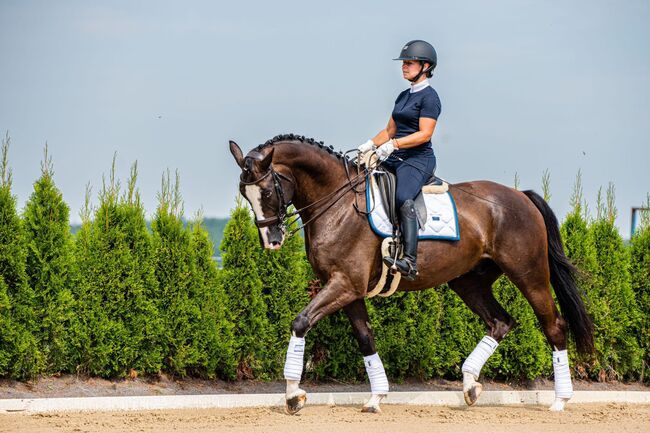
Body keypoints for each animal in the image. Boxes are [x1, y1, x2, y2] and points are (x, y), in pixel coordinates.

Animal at [228, 133, 592, 414]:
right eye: (245, 194)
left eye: (268, 192)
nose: (272, 241)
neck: (339, 204)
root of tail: (520, 196)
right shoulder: (349, 290)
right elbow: (366, 339)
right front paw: (376, 398)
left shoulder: (344, 284)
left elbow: (301, 322)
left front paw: (293, 395)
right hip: (469, 281)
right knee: (500, 322)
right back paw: (470, 386)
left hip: (529, 274)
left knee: (554, 325)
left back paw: (560, 400)